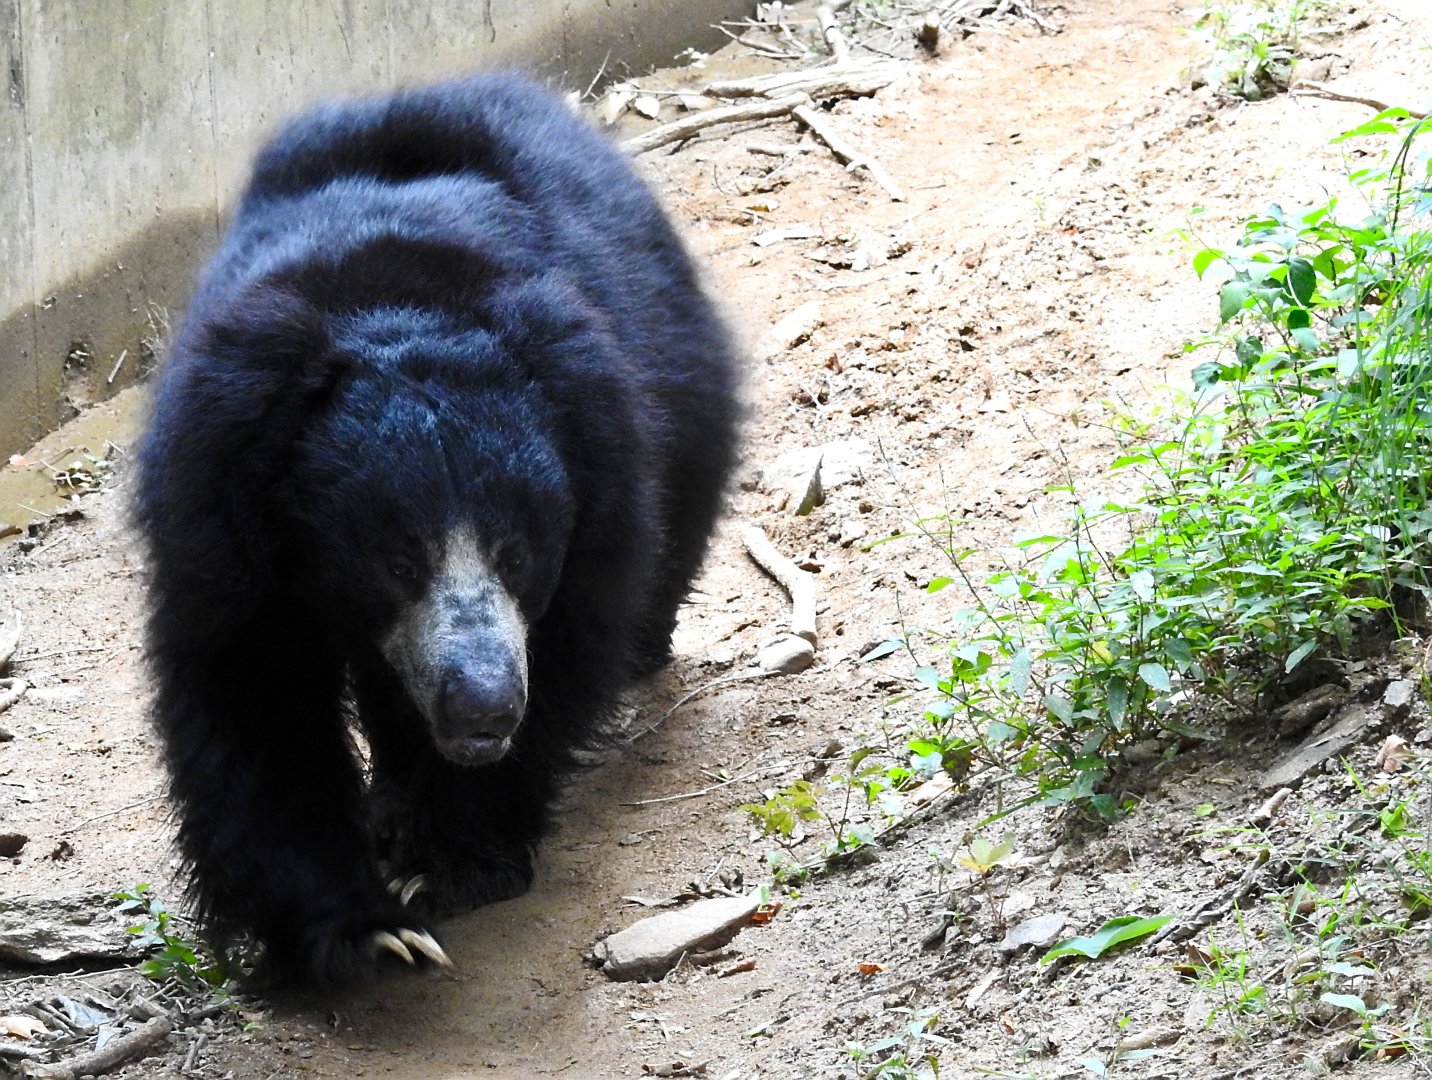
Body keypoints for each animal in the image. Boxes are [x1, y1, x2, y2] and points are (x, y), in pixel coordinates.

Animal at [133, 72, 740, 985]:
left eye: (517, 554)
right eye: (395, 561)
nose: (482, 707)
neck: (391, 305)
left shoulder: (602, 460)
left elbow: (571, 645)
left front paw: (449, 863)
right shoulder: (219, 509)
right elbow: (252, 695)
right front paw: (369, 930)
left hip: (682, 376)